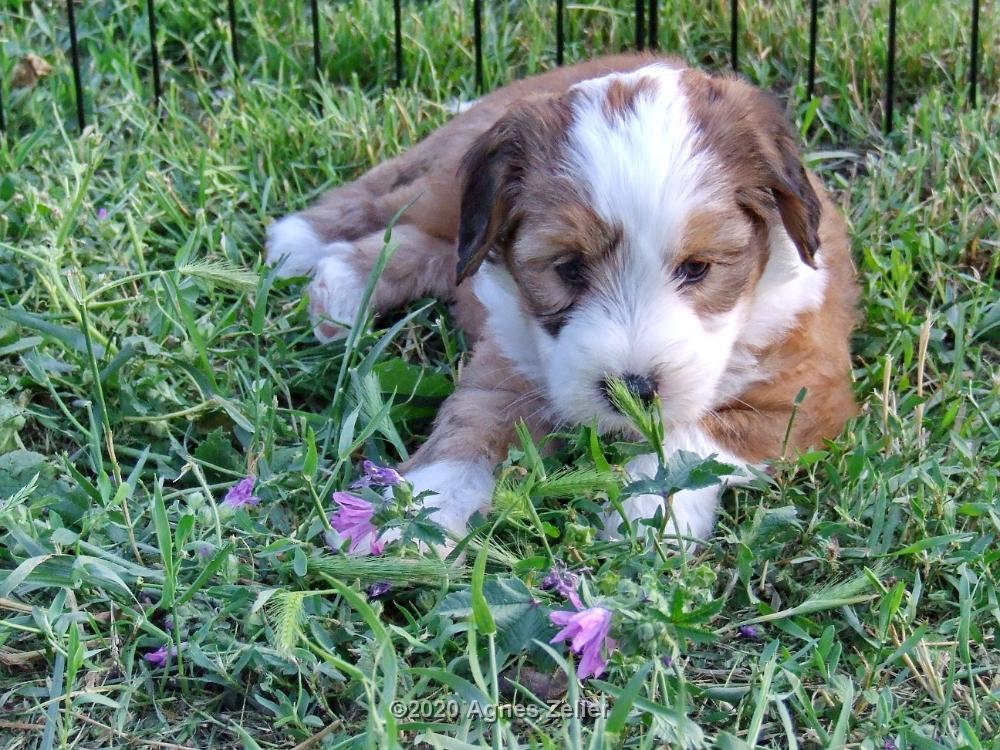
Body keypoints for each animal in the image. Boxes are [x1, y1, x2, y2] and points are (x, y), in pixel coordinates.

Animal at [266, 55, 860, 552]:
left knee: (423, 246)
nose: (633, 390)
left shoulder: (802, 394)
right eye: (569, 268)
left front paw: (650, 511)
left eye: (698, 269)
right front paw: (408, 516)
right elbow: (471, 427)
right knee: (393, 211)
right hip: (447, 191)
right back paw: (311, 255)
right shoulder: (509, 360)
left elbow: (695, 436)